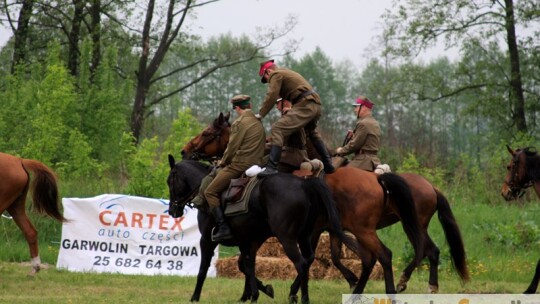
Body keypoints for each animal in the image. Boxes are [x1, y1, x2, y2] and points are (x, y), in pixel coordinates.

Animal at [175, 113, 428, 296]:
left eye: (207, 132)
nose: (185, 150)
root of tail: (377, 179)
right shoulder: (314, 231)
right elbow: (321, 258)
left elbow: (307, 259)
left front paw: (274, 291)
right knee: (381, 256)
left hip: (364, 229)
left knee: (384, 255)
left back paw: (390, 289)